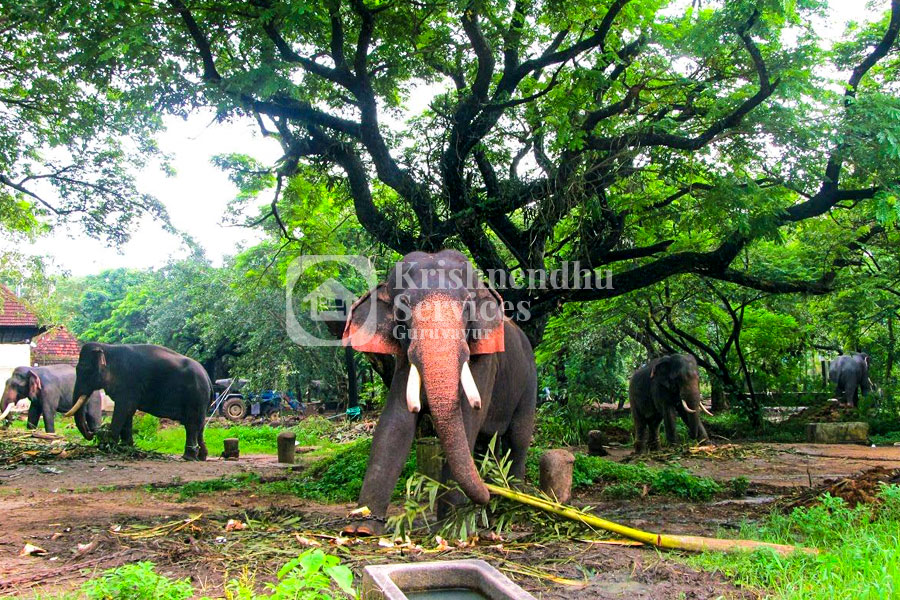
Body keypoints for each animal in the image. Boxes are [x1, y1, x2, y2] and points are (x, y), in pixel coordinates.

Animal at [67, 342, 212, 460]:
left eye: (85, 370)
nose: (92, 433)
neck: (108, 348)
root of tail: (207, 377)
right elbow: (128, 412)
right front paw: (126, 447)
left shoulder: (128, 382)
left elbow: (123, 409)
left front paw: (107, 445)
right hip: (200, 400)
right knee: (200, 425)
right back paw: (202, 456)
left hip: (196, 396)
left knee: (191, 424)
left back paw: (189, 457)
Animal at [338, 248, 536, 536]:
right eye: (402, 309)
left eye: (467, 306)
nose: (489, 494)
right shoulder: (404, 357)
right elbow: (395, 422)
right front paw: (361, 527)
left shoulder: (486, 358)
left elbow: (467, 418)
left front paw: (453, 528)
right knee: (484, 443)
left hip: (529, 380)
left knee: (518, 437)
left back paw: (514, 502)